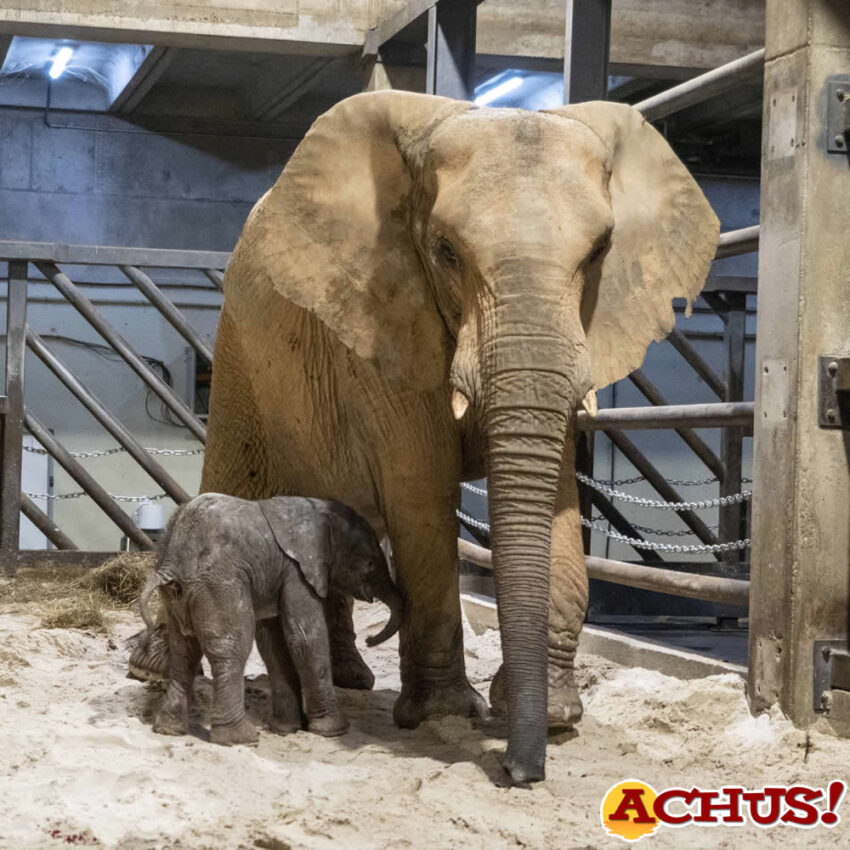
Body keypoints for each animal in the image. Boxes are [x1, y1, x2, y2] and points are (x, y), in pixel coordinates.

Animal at [138, 490, 400, 744]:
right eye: (370, 563)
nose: (369, 640)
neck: (318, 510)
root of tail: (170, 564)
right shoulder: (298, 573)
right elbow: (305, 638)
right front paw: (334, 731)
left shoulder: (275, 576)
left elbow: (273, 642)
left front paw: (287, 730)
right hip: (217, 584)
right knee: (233, 647)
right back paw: (240, 739)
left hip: (178, 595)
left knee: (183, 652)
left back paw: (169, 729)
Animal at [202, 89, 720, 780]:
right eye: (445, 251)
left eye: (600, 251)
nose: (520, 774)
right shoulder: (385, 321)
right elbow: (422, 497)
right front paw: (446, 716)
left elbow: (557, 499)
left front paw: (553, 717)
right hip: (238, 361)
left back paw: (352, 681)